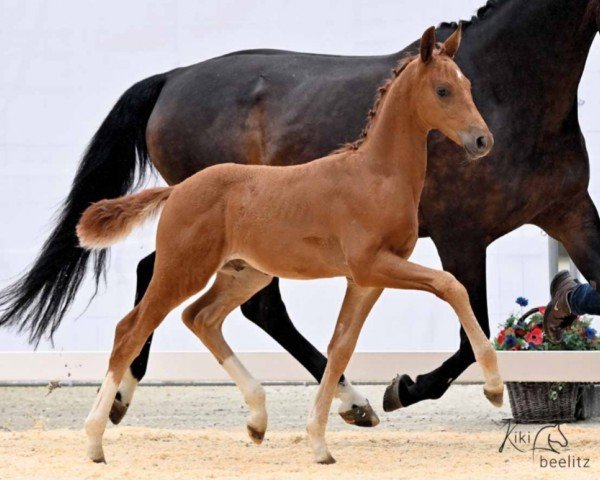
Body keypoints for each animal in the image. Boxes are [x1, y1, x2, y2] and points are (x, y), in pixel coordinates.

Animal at [0, 0, 596, 414]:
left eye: (468, 86)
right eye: (446, 91)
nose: (480, 141)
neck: (515, 88)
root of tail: (171, 78)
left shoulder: (570, 211)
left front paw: (561, 305)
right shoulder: (460, 236)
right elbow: (468, 326)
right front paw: (406, 388)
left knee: (194, 289)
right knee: (215, 297)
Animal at [77, 26, 504, 464]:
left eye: (468, 86)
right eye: (442, 90)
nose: (481, 140)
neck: (376, 175)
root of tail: (177, 190)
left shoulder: (366, 280)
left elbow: (340, 347)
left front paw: (320, 441)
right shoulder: (373, 265)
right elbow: (451, 287)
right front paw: (493, 388)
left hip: (245, 274)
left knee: (201, 318)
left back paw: (257, 419)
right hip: (183, 270)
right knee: (130, 330)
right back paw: (94, 440)